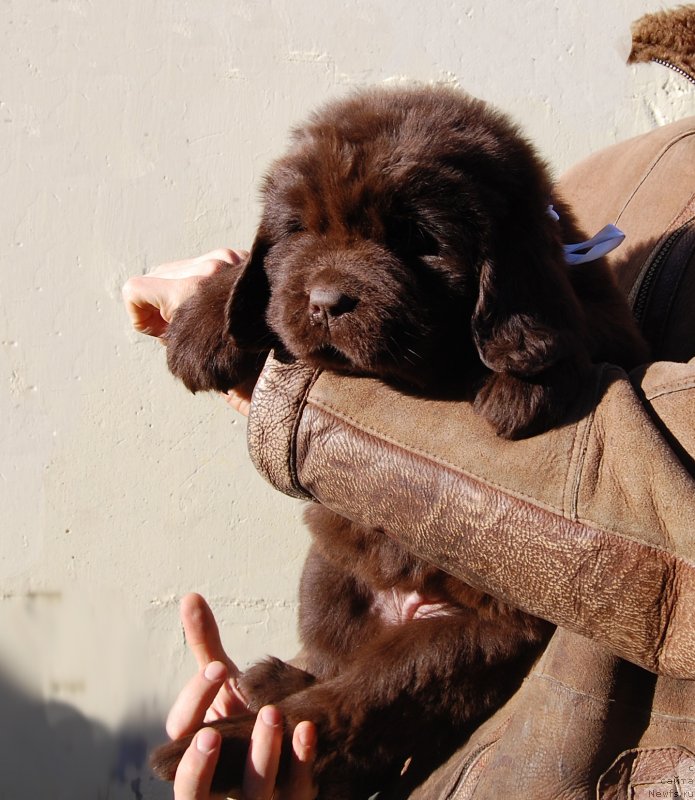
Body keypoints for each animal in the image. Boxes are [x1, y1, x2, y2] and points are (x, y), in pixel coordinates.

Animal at [151, 84, 648, 796]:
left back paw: (227, 744)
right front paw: (203, 322)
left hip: (457, 646)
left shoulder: (599, 313)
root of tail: (400, 613)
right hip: (328, 576)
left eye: (418, 241)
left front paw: (521, 375)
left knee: (353, 705)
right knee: (330, 663)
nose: (326, 301)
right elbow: (253, 274)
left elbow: (561, 326)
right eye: (299, 231)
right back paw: (270, 685)